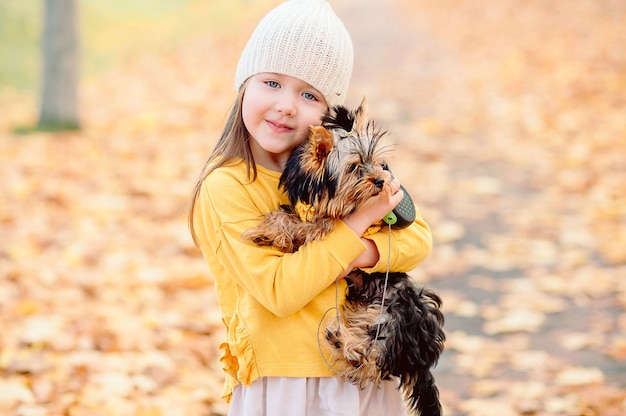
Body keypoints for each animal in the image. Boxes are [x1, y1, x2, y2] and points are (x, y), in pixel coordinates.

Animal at [243, 99, 444, 414]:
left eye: (379, 163)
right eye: (353, 168)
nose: (380, 180)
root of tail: (421, 354)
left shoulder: (331, 225)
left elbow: (308, 229)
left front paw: (275, 233)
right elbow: (287, 216)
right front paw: (267, 231)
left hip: (394, 317)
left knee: (373, 357)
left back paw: (342, 342)